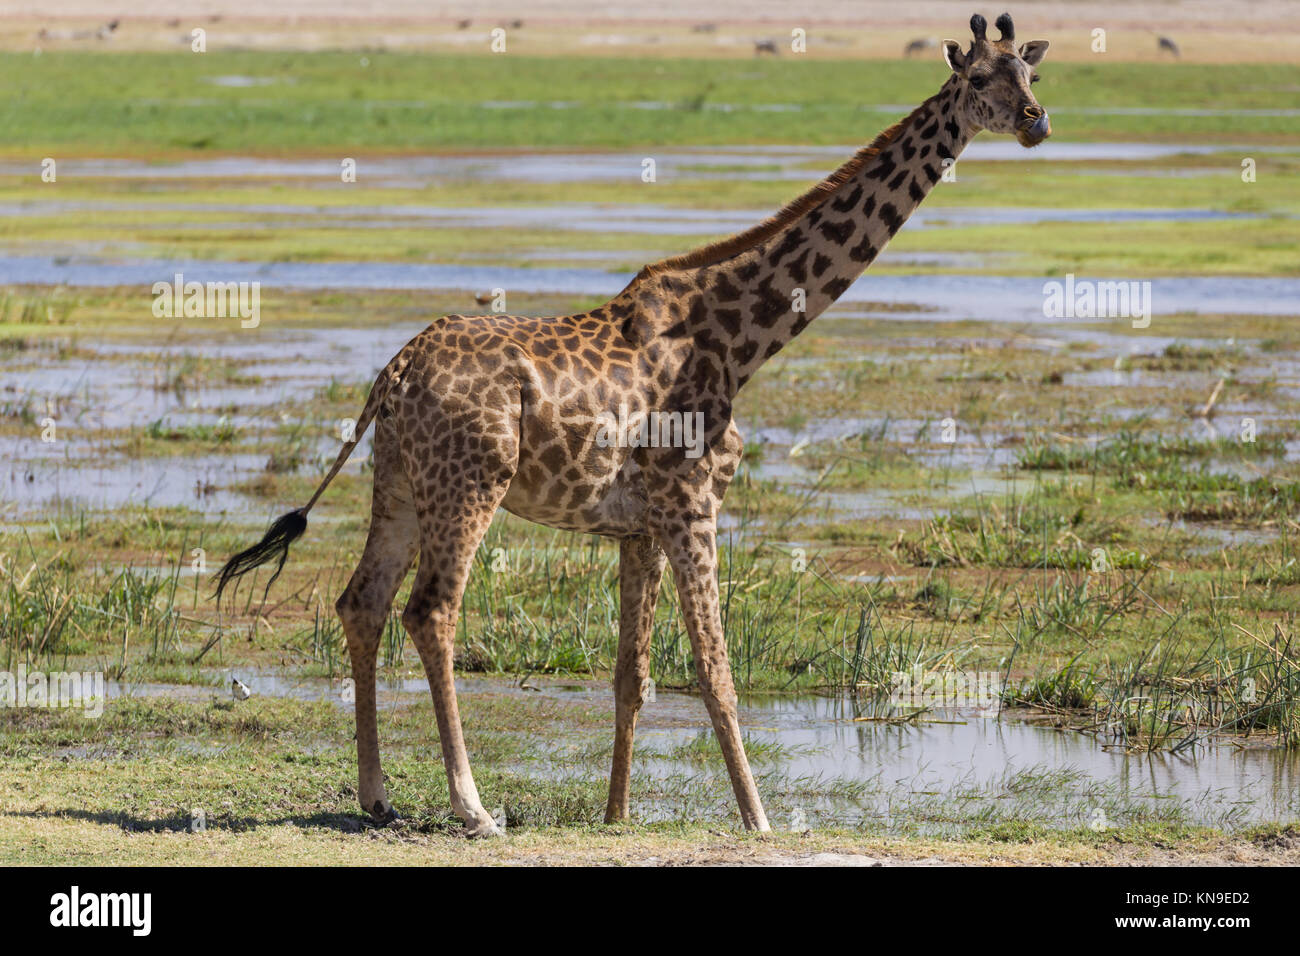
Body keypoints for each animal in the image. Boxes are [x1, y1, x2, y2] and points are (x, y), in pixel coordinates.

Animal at [220, 13, 1045, 837]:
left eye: (1032, 74)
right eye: (979, 80)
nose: (1037, 123)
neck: (744, 339)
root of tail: (394, 372)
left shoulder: (640, 527)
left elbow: (632, 676)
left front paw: (616, 813)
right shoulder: (692, 507)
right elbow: (715, 670)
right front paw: (759, 821)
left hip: (398, 483)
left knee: (362, 602)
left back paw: (376, 795)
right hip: (469, 482)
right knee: (431, 612)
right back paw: (472, 806)